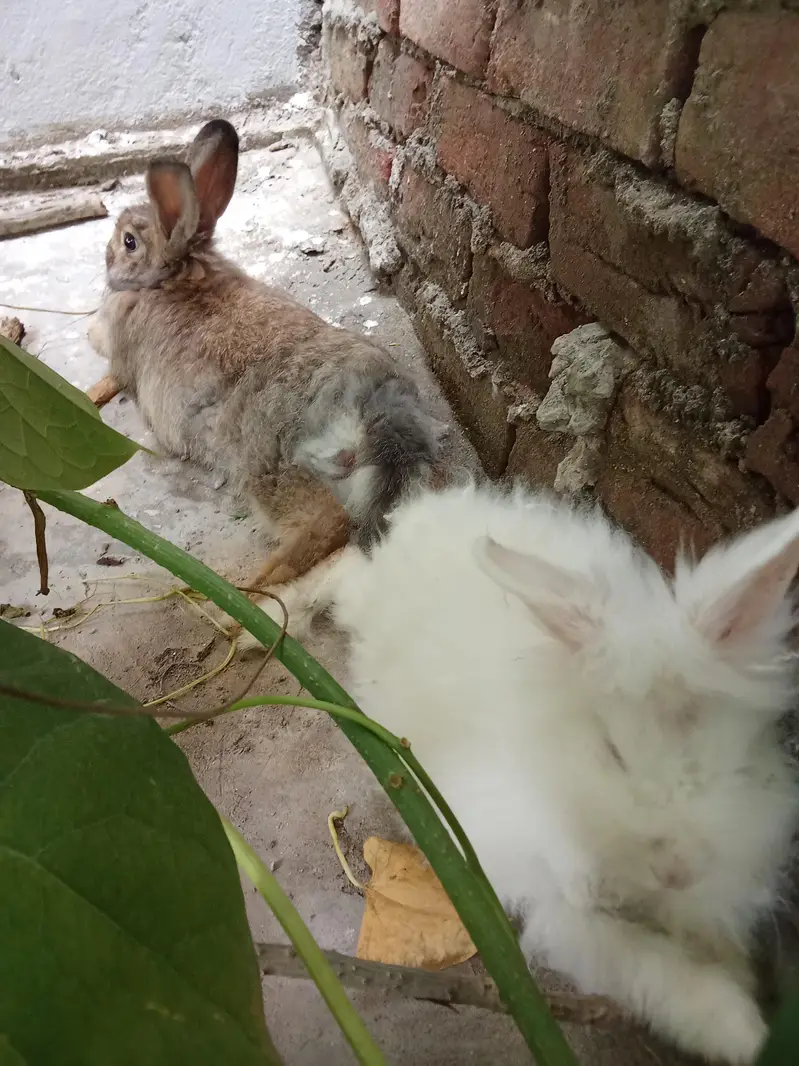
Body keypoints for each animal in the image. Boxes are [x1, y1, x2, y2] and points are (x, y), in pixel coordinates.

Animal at [87, 118, 450, 588]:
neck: (173, 276)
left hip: (270, 462)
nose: (106, 255)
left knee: (326, 523)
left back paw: (250, 586)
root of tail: (374, 405)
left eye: (129, 241)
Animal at [241, 480, 799, 1063]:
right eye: (613, 752)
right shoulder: (561, 903)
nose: (677, 869)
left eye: (726, 749)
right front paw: (742, 1032)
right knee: (343, 569)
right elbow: (651, 968)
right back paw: (262, 627)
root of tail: (424, 513)